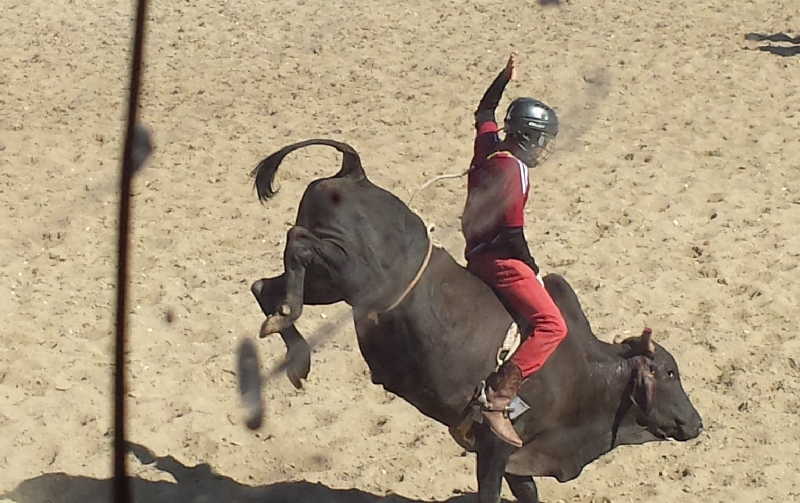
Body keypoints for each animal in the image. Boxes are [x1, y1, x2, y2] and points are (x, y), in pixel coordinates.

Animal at [244, 139, 700, 503]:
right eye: (670, 373)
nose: (696, 422)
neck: (582, 374)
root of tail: (354, 174)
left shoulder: (519, 460)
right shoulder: (494, 448)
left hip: (329, 284)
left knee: (263, 286)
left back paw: (292, 344)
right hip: (347, 272)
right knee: (298, 244)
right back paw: (290, 323)